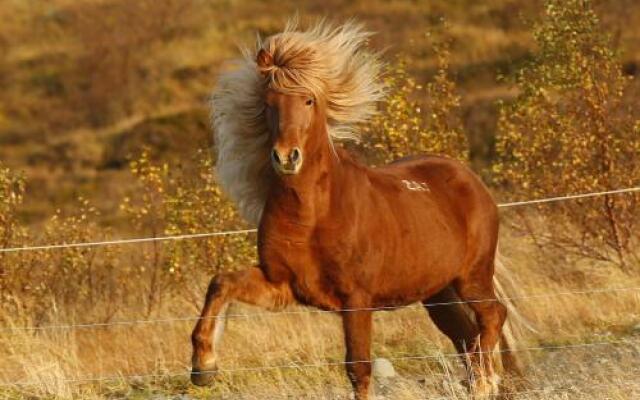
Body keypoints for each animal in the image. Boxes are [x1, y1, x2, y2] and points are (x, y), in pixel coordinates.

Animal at [189, 22, 520, 400]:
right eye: (269, 102)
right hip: (439, 293)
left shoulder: (356, 298)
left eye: (309, 99)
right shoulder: (282, 285)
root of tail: (472, 181)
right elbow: (221, 283)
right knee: (467, 336)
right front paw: (203, 367)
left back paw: (485, 384)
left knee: (493, 317)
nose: (286, 157)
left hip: (471, 277)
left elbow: (358, 368)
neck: (315, 215)